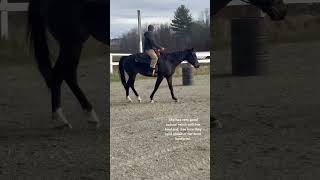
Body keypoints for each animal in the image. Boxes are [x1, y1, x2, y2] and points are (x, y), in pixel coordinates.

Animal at [26, 0, 109, 129]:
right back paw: (61, 120)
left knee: (67, 75)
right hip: (71, 42)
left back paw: (90, 117)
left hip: (73, 44)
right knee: (59, 76)